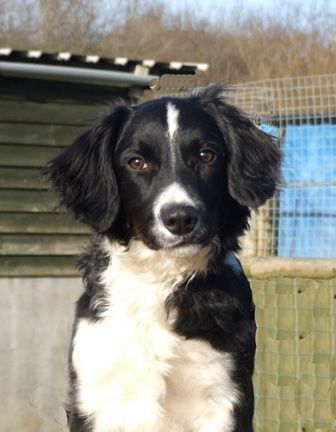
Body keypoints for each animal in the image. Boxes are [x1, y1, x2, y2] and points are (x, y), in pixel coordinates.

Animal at [44, 82, 280, 430]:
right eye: (136, 162)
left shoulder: (223, 393)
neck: (160, 278)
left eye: (206, 156)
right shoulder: (94, 393)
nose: (180, 218)